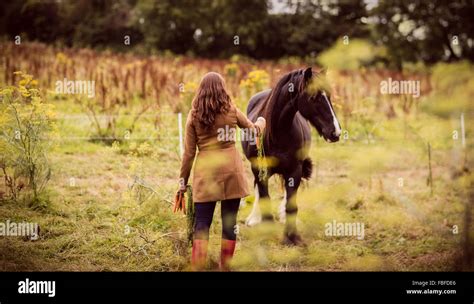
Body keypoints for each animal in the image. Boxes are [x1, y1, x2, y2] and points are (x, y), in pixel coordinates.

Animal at [241, 67, 340, 246]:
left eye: (329, 96)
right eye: (313, 97)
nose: (335, 132)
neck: (276, 134)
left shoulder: (295, 170)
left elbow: (291, 205)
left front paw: (293, 237)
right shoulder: (260, 169)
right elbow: (264, 198)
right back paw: (254, 219)